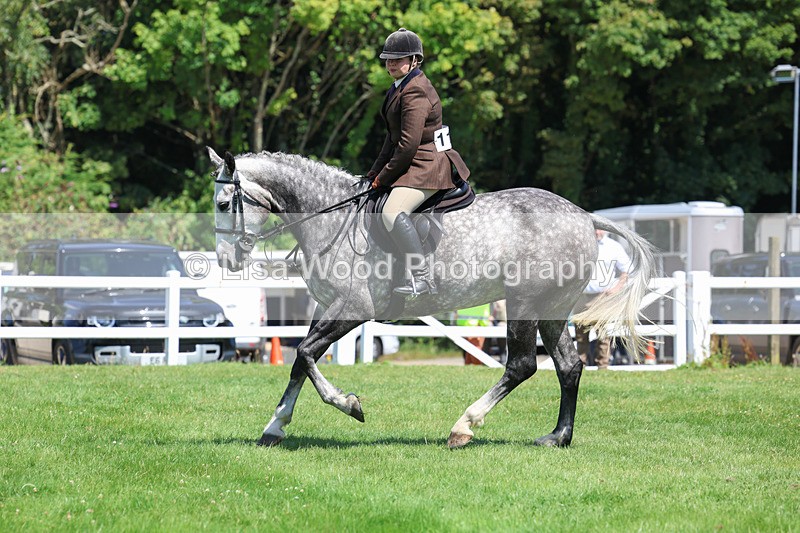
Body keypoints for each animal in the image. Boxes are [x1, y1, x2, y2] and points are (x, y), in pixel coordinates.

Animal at [208, 147, 657, 448]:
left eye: (224, 203)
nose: (227, 259)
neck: (330, 217)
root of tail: (584, 215)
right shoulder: (327, 307)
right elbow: (302, 361)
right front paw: (275, 427)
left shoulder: (353, 309)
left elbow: (303, 354)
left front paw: (349, 404)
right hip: (551, 309)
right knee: (568, 366)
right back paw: (558, 436)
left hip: (524, 304)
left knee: (522, 365)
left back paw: (463, 427)